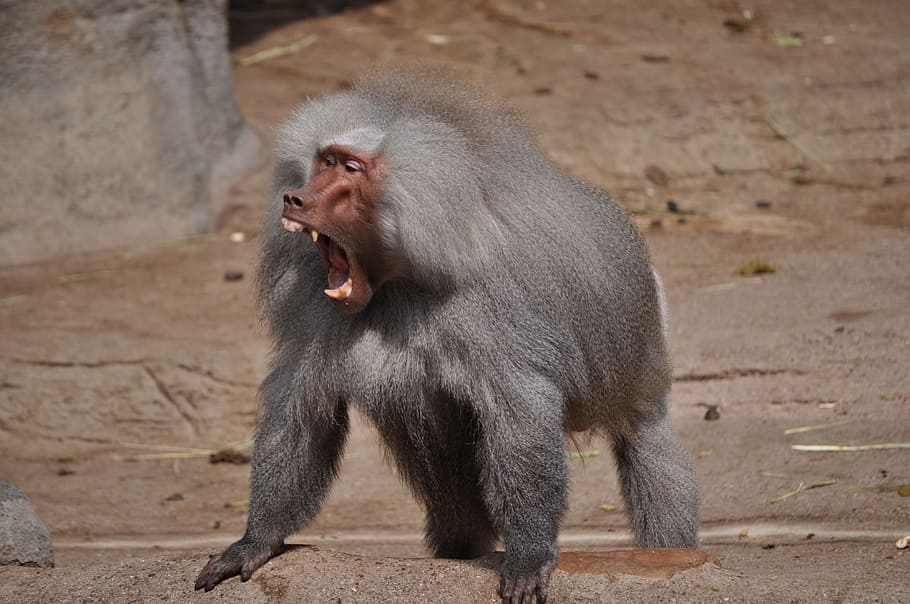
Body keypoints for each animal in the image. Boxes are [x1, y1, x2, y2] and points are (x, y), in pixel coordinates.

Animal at [195, 67, 698, 603]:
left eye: (351, 168)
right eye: (324, 161)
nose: (296, 198)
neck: (402, 277)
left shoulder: (492, 307)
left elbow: (520, 413)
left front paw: (529, 555)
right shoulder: (317, 311)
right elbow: (302, 408)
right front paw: (255, 542)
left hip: (643, 343)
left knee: (645, 439)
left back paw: (670, 553)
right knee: (449, 485)